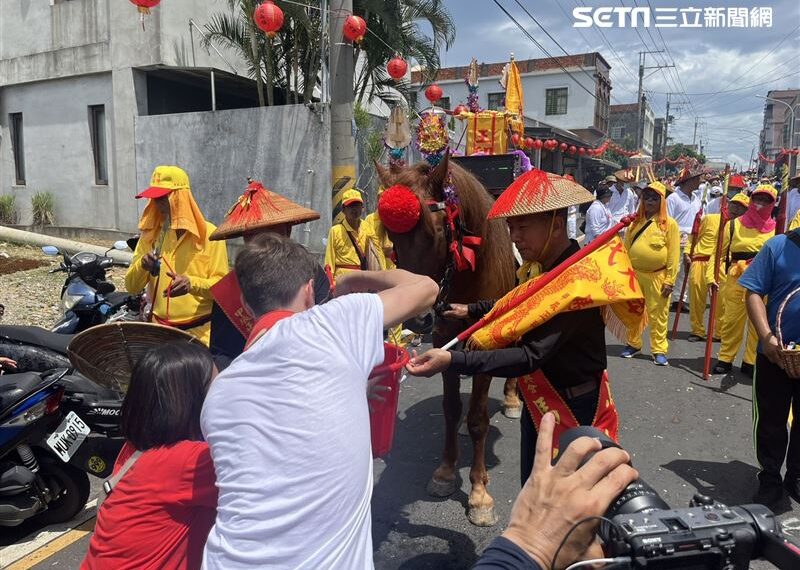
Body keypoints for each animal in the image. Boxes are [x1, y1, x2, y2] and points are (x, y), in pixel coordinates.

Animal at [376, 152, 520, 524]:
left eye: (438, 232)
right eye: (392, 240)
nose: (419, 317)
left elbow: (479, 420)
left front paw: (479, 493)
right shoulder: (444, 344)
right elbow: (452, 409)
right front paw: (445, 471)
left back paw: (513, 400)